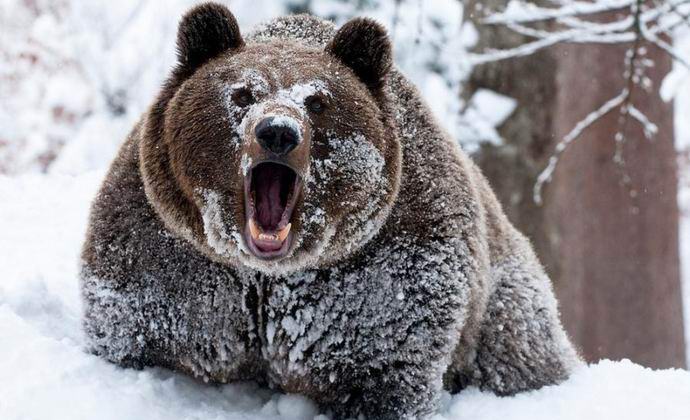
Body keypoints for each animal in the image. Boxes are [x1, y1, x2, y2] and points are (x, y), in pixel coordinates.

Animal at [79, 4, 576, 420]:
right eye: (242, 93)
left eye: (317, 101)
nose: (278, 131)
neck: (267, 276)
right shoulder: (172, 258)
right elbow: (134, 327)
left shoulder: (382, 274)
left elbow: (387, 366)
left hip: (505, 302)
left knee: (519, 352)